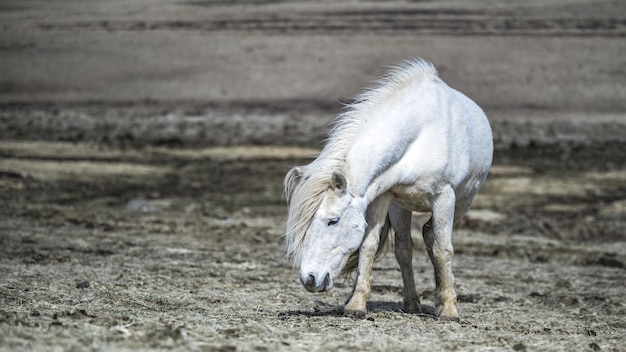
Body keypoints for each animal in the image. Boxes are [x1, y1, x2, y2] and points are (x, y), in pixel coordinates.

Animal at [284, 57, 492, 320]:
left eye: (333, 220)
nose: (309, 279)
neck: (420, 133)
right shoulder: (383, 198)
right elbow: (369, 247)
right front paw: (355, 305)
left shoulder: (444, 196)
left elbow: (443, 249)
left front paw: (449, 310)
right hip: (400, 207)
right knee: (406, 247)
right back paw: (412, 304)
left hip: (462, 202)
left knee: (432, 238)